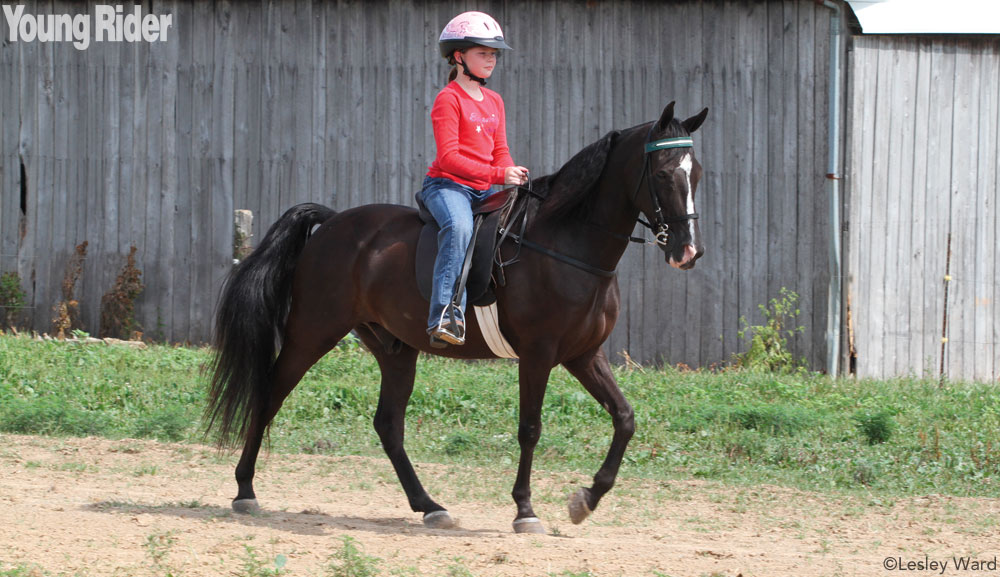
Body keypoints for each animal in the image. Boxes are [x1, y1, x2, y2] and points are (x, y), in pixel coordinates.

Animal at [205, 101, 704, 532]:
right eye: (663, 173)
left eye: (695, 173)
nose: (688, 252)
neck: (569, 244)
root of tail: (331, 222)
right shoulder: (539, 355)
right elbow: (530, 429)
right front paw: (525, 510)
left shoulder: (584, 355)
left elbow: (625, 418)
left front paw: (586, 499)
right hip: (312, 332)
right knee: (269, 395)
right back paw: (245, 490)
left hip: (395, 349)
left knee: (388, 425)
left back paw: (429, 506)